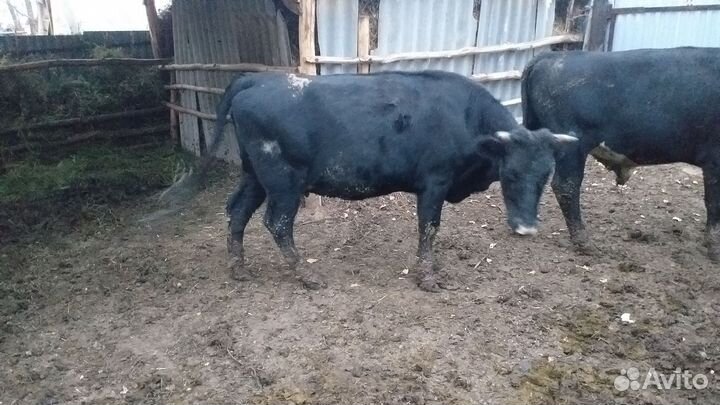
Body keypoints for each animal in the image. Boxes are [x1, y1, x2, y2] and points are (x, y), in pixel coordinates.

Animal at [161, 70, 577, 291]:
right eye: (511, 173)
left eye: (546, 175)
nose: (526, 227)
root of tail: (257, 78)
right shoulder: (434, 183)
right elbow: (429, 227)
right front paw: (428, 277)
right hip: (282, 181)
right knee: (276, 223)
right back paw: (307, 275)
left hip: (255, 176)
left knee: (237, 212)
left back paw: (239, 268)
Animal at [521, 47, 720, 261]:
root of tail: (552, 56)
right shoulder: (714, 161)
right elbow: (714, 204)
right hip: (573, 145)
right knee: (566, 186)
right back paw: (584, 242)